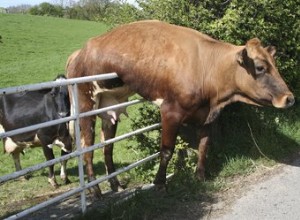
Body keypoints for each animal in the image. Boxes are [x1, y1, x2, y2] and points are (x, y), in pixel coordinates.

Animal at [67, 20, 294, 196]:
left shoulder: (208, 116)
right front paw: (160, 183)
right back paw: (94, 190)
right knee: (87, 147)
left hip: (109, 106)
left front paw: (200, 176)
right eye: (260, 67)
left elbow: (204, 145)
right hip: (86, 103)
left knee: (107, 147)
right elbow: (167, 150)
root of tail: (79, 52)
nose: (289, 98)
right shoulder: (170, 112)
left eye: (274, 64)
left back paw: (115, 184)